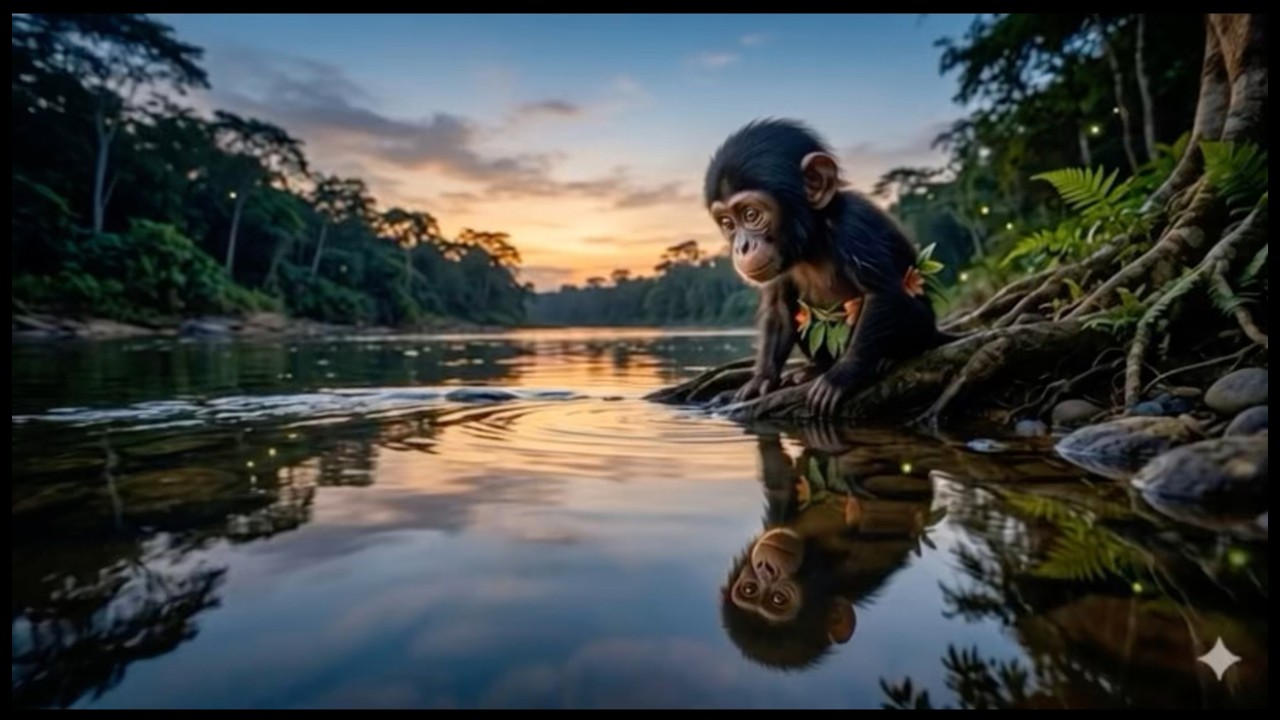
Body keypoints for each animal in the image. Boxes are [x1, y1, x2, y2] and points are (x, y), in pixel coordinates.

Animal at [704, 119, 956, 417]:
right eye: (728, 224)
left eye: (751, 215)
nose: (742, 246)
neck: (812, 236)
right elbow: (778, 311)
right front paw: (760, 380)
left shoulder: (854, 224)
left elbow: (881, 293)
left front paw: (841, 377)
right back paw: (812, 370)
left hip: (922, 328)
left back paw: (886, 359)